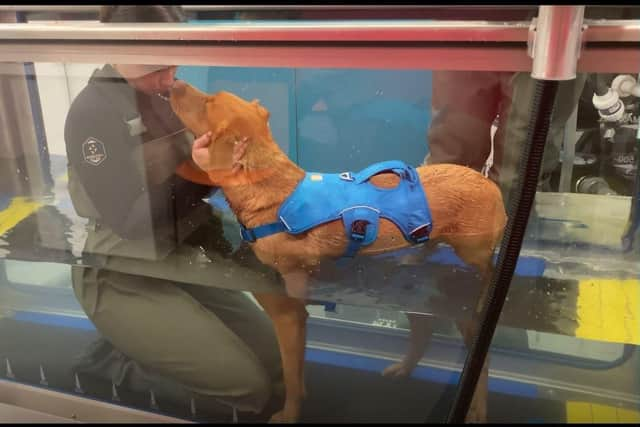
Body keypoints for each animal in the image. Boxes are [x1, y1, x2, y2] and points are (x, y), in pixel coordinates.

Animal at [169, 81, 504, 424]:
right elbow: (298, 374)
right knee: (423, 329)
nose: (174, 82)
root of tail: (491, 187)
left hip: (471, 291)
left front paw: (289, 414)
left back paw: (477, 409)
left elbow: (292, 379)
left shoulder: (289, 313)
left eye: (208, 102)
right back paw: (404, 366)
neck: (272, 193)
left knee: (482, 353)